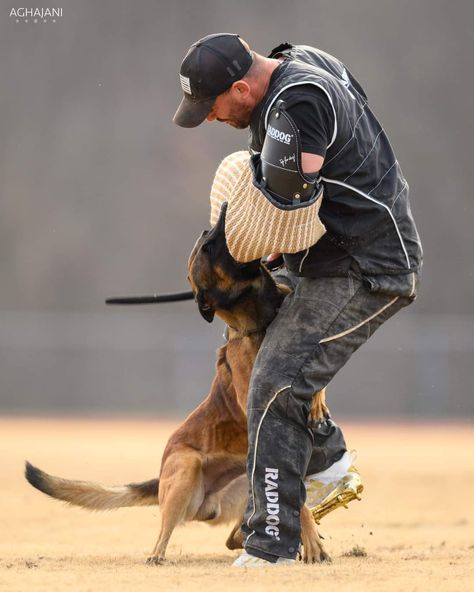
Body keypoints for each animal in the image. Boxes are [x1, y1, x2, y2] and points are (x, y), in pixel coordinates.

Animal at [25, 204, 330, 564]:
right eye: (208, 248)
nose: (222, 212)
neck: (259, 318)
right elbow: (296, 494)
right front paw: (312, 542)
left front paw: (318, 405)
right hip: (186, 468)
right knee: (164, 536)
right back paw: (157, 557)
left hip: (239, 486)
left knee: (236, 535)